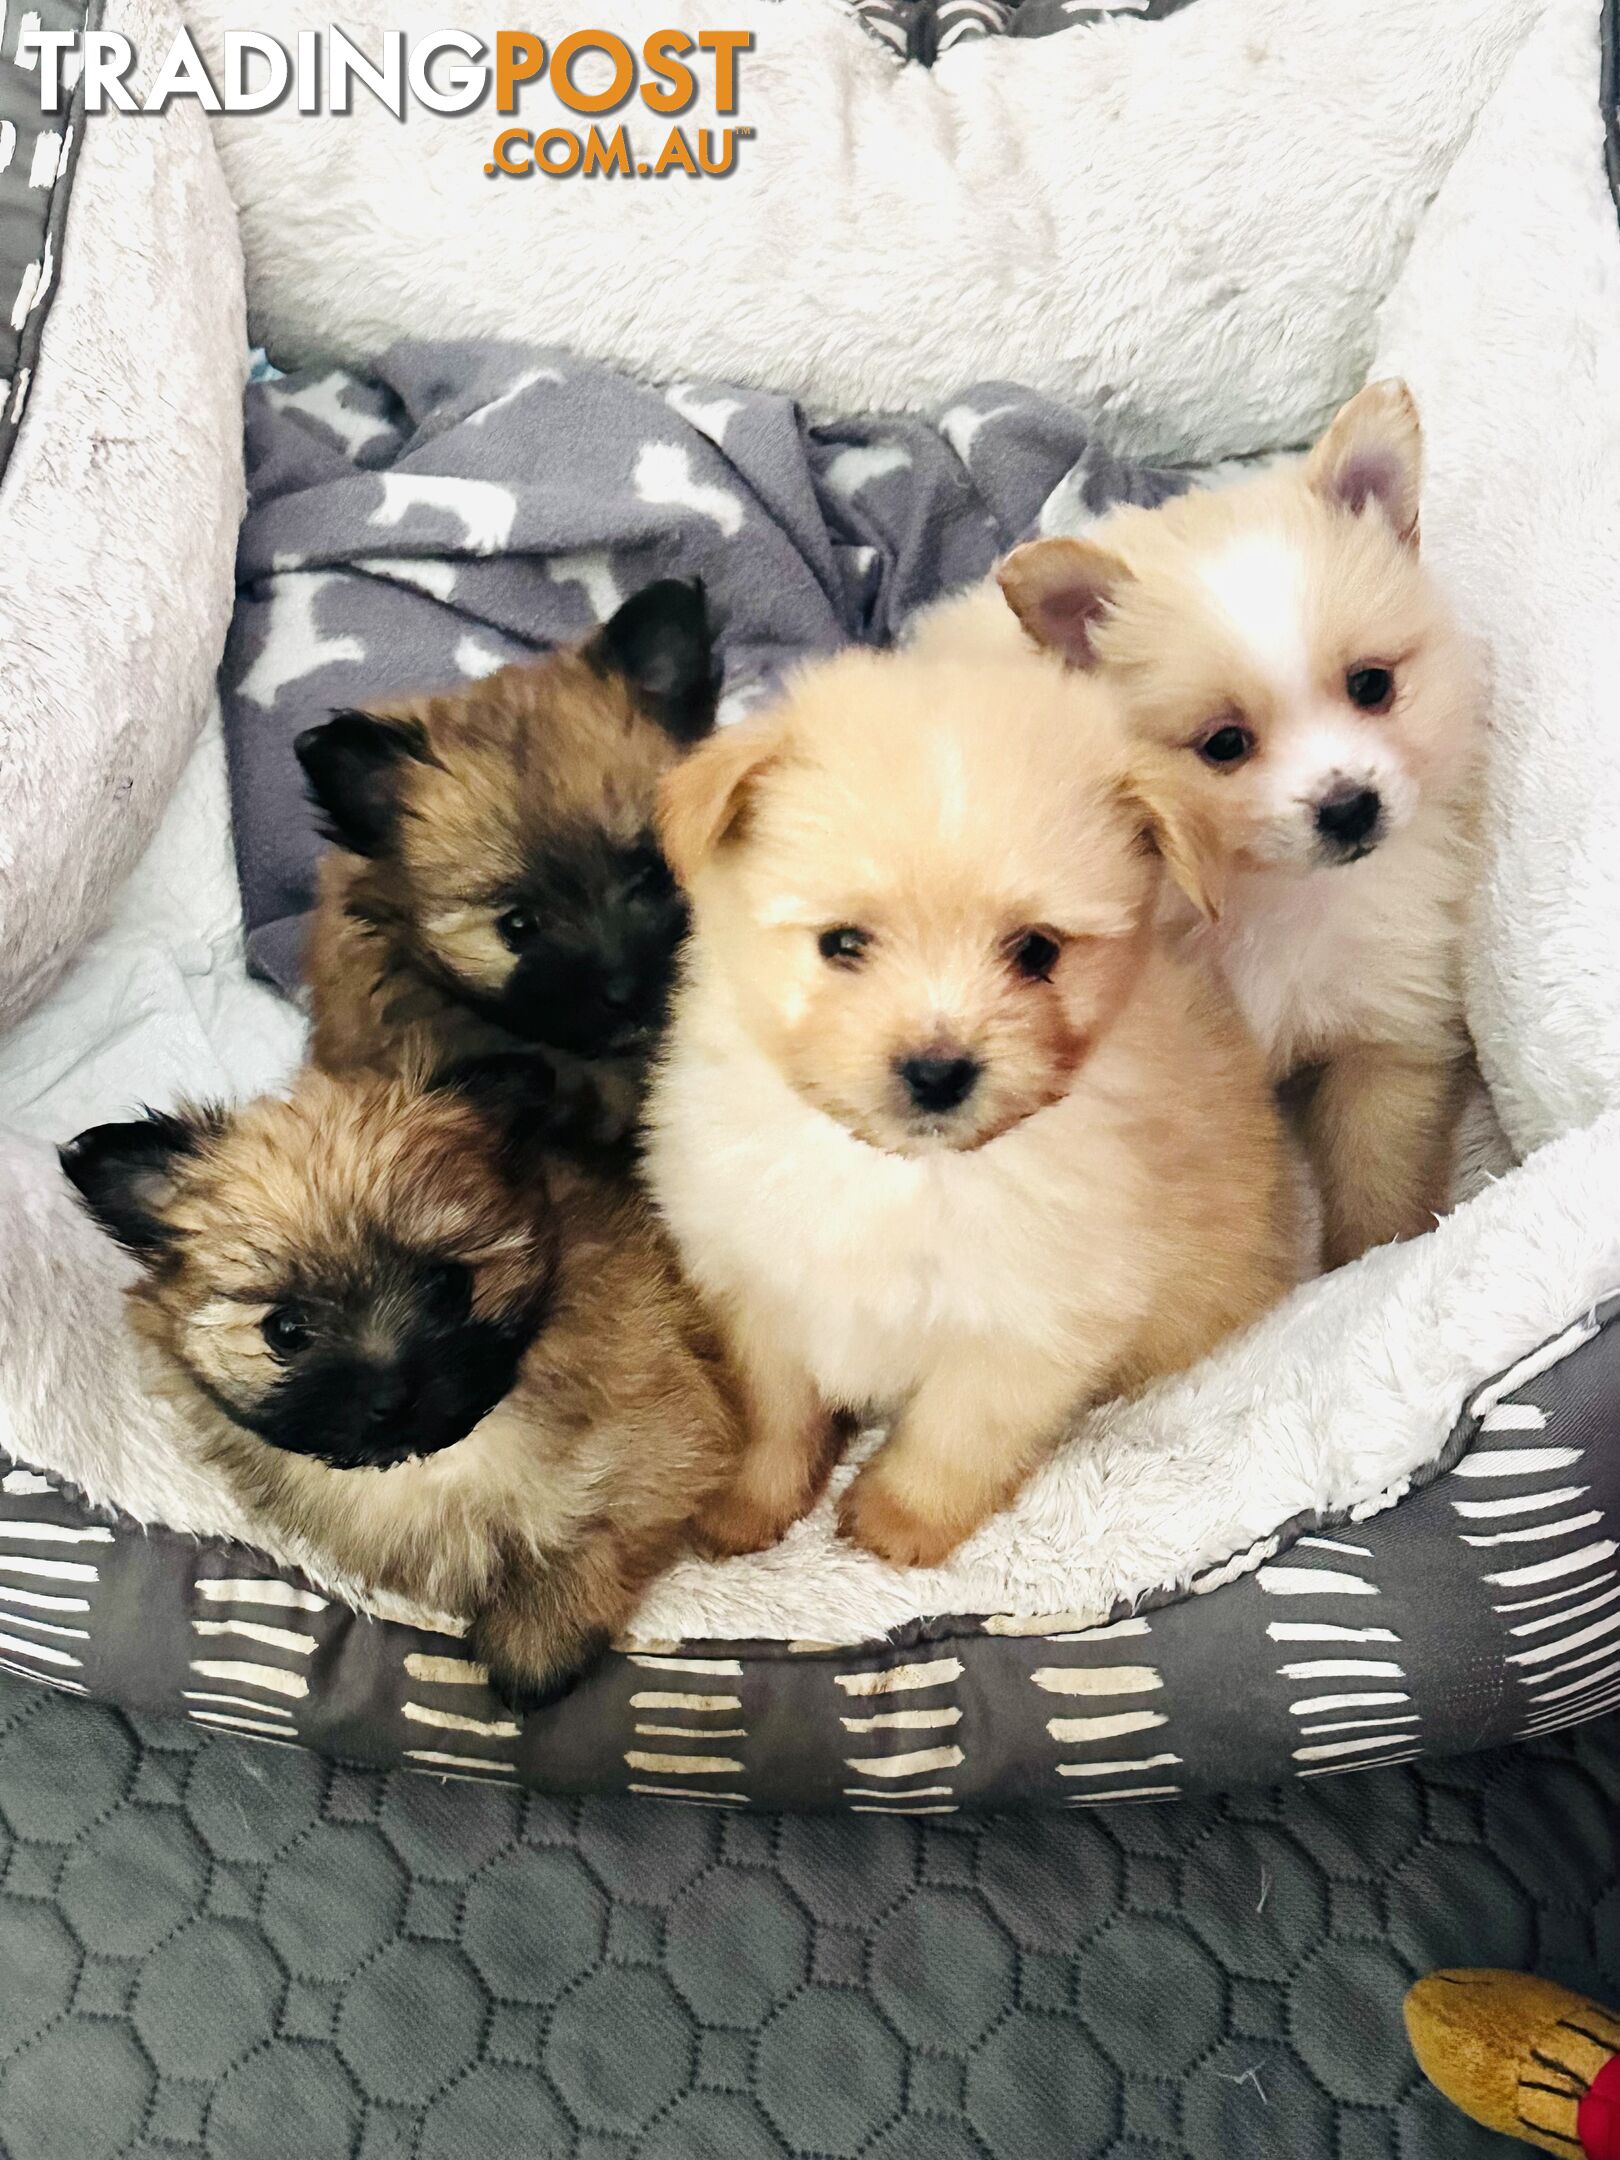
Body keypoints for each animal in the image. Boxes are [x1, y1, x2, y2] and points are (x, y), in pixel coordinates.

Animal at [60, 1058, 747, 1702]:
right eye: (287, 1330)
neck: (451, 1461)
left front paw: (535, 1643)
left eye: (447, 1286)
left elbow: (597, 1531)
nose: (391, 1399)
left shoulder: (667, 1439)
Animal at [648, 643, 1304, 1572]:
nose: (937, 1071)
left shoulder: (1032, 1320)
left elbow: (955, 1433)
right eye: (842, 943)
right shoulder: (757, 1292)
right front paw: (746, 1508)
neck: (900, 1172)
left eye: (1035, 951)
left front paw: (898, 1522)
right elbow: (773, 1419)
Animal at [1002, 384, 1486, 1261]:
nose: (1349, 805)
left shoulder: (1388, 1031)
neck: (1275, 896)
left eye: (1371, 685)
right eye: (1224, 744)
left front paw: (1367, 1261)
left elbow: (1379, 1173)